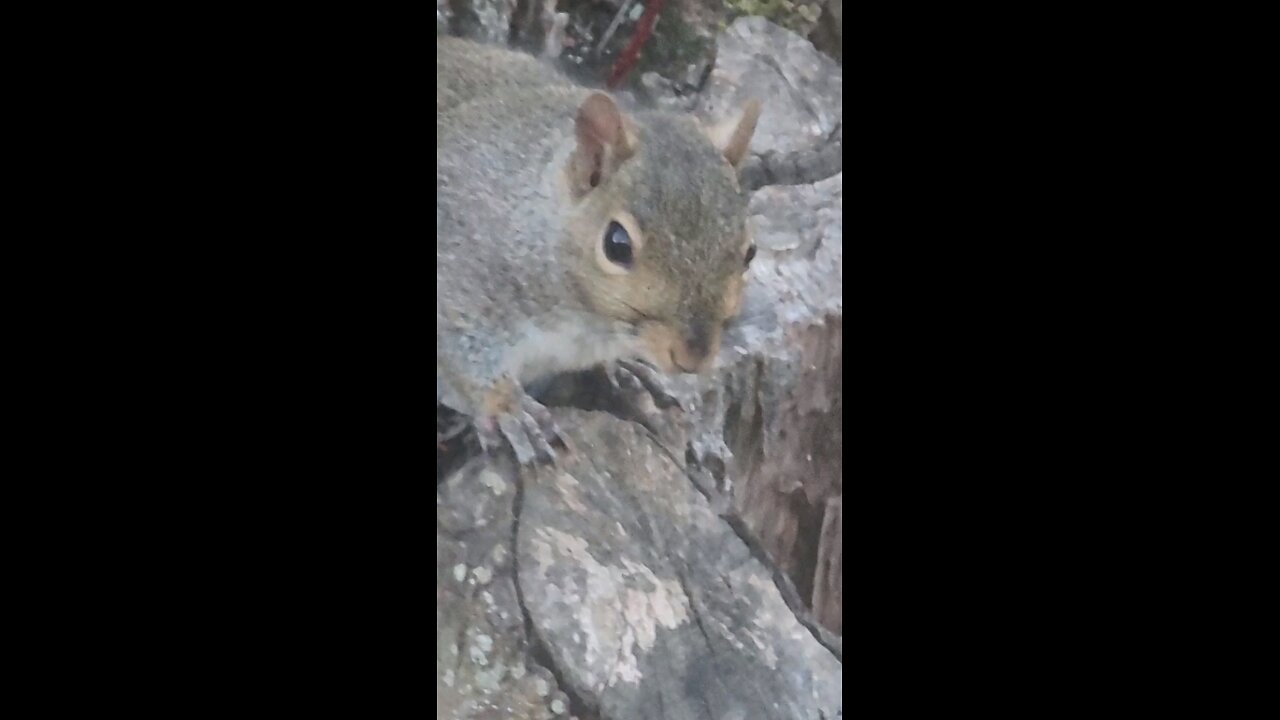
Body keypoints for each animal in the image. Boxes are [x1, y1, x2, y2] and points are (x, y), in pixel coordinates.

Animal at [437, 37, 762, 464]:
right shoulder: (457, 270)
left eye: (750, 252)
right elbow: (463, 355)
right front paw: (510, 407)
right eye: (616, 245)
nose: (692, 357)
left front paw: (625, 367)